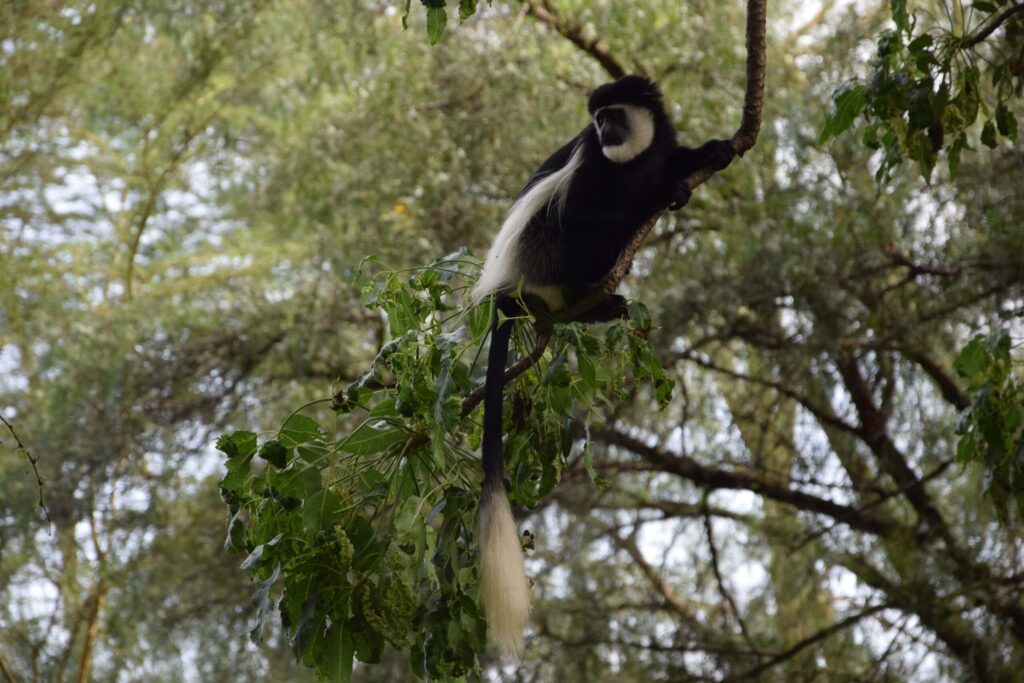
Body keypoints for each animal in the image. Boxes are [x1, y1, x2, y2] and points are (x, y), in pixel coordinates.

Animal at [471, 75, 735, 657]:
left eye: (613, 114)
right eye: (597, 120)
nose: (602, 128)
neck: (630, 159)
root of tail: (511, 292)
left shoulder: (658, 141)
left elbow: (676, 155)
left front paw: (712, 150)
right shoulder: (591, 166)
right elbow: (591, 211)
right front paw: (667, 191)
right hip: (545, 253)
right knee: (579, 231)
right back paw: (592, 292)